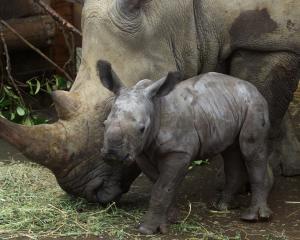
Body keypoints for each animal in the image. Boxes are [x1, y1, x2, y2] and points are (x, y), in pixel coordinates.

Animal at [0, 0, 300, 202]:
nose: (81, 191)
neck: (178, 15)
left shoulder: (264, 41)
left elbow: (261, 98)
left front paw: (240, 185)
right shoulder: (230, 39)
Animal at [99, 60, 274, 234]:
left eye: (142, 129)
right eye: (104, 124)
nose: (112, 154)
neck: (156, 108)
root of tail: (250, 86)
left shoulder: (179, 152)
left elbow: (162, 188)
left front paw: (146, 229)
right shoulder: (142, 152)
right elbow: (161, 184)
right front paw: (171, 219)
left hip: (254, 104)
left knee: (251, 151)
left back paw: (253, 217)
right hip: (226, 107)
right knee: (231, 151)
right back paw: (222, 206)